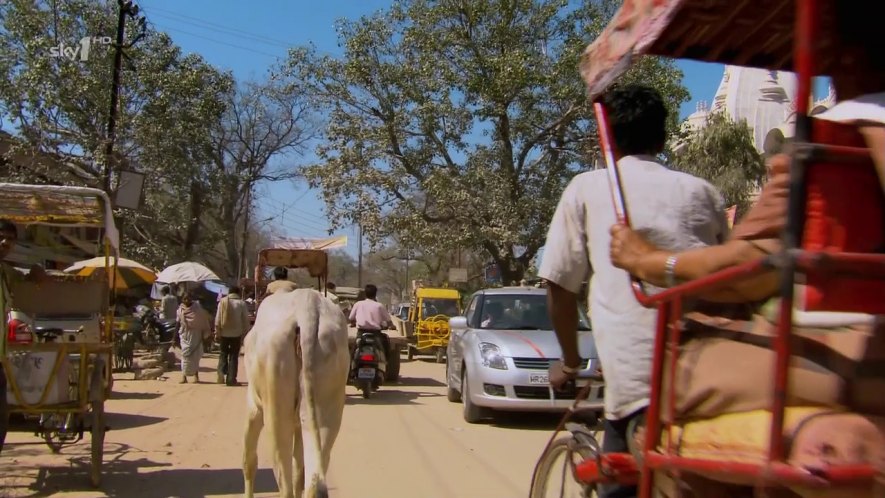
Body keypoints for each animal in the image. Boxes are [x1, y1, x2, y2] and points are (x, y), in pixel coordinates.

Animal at [245, 288, 352, 498]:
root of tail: (308, 303)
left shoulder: (254, 408)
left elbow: (249, 462)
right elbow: (299, 471)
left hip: (276, 409)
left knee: (284, 483)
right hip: (328, 408)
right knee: (314, 481)